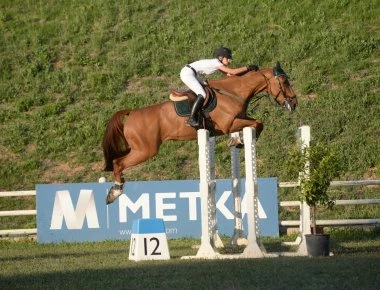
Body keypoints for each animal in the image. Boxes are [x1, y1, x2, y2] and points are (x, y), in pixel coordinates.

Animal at [101, 61, 296, 204]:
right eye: (284, 82)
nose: (294, 104)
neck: (234, 91)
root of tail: (132, 113)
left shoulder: (237, 120)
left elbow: (252, 123)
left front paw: (237, 141)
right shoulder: (229, 124)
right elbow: (258, 123)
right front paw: (242, 142)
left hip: (138, 149)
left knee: (118, 160)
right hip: (145, 150)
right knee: (118, 163)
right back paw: (115, 191)